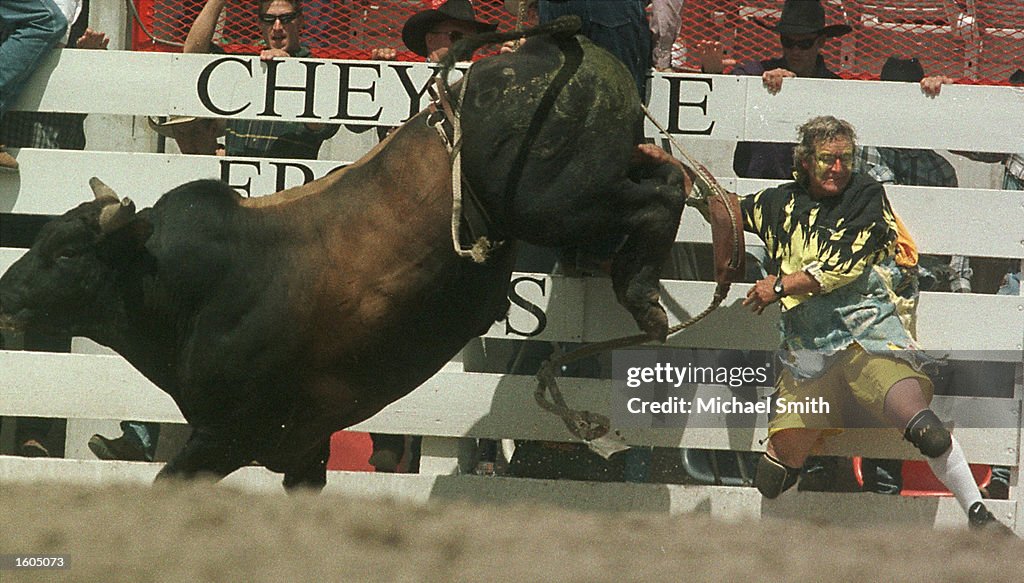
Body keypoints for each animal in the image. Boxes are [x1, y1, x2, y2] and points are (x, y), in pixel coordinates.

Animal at [0, 18, 712, 489]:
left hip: (561, 201)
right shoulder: (306, 448)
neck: (192, 285)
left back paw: (642, 290)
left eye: (68, 253)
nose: (6, 294)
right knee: (661, 178)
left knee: (662, 195)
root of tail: (547, 46)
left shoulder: (226, 436)